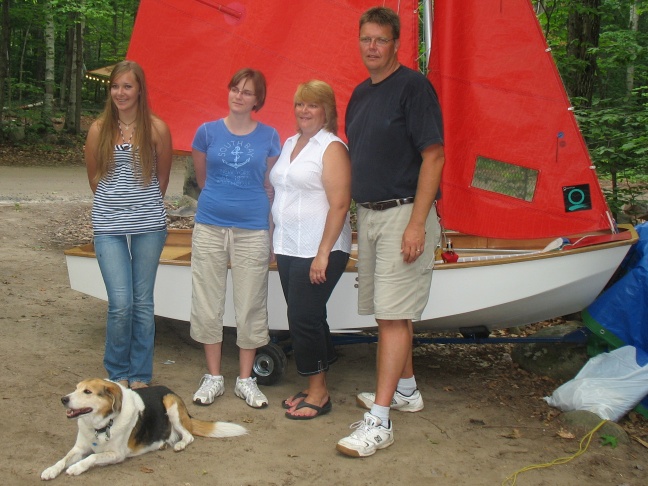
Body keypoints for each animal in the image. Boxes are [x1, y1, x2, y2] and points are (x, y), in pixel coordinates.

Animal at [40, 380, 247, 478]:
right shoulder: (79, 448)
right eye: (76, 388)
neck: (100, 426)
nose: (63, 399)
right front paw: (50, 470)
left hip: (170, 403)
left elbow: (92, 457)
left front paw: (76, 468)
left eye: (87, 392)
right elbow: (63, 459)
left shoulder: (117, 454)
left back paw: (179, 444)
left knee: (188, 436)